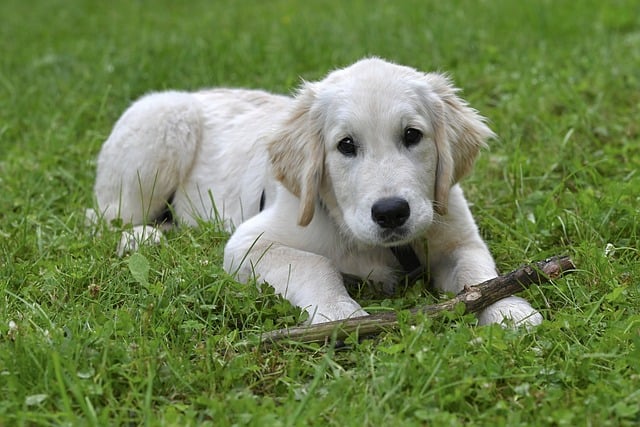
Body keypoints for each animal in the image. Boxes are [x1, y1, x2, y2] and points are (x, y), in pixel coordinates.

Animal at [87, 57, 544, 328]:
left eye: (412, 136)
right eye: (346, 146)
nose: (391, 212)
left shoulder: (456, 235)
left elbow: (479, 273)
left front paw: (510, 311)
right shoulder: (249, 245)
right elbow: (316, 266)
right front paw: (343, 316)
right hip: (162, 124)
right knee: (104, 218)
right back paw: (141, 237)